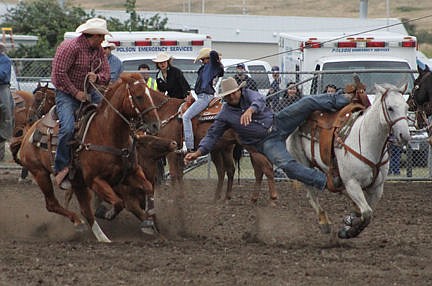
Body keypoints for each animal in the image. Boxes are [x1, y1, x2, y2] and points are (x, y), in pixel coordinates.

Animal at [17, 72, 160, 242]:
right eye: (138, 96)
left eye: (150, 94)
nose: (156, 125)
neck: (107, 133)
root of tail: (28, 135)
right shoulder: (95, 180)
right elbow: (119, 202)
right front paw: (107, 213)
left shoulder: (132, 172)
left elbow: (148, 187)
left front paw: (149, 222)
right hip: (40, 173)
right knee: (53, 204)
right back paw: (79, 223)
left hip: (77, 182)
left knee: (86, 211)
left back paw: (102, 237)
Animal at [148, 88, 276, 204]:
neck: (164, 111)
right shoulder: (177, 153)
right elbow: (178, 173)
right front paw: (180, 196)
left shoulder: (172, 152)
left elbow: (173, 173)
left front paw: (174, 198)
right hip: (223, 150)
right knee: (230, 170)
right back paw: (226, 198)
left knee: (260, 168)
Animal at [288, 83, 410, 239]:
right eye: (390, 108)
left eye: (406, 107)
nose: (404, 136)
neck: (366, 140)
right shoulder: (352, 183)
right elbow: (367, 213)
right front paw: (350, 230)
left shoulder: (377, 188)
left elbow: (365, 211)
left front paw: (349, 222)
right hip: (302, 164)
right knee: (312, 193)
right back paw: (324, 222)